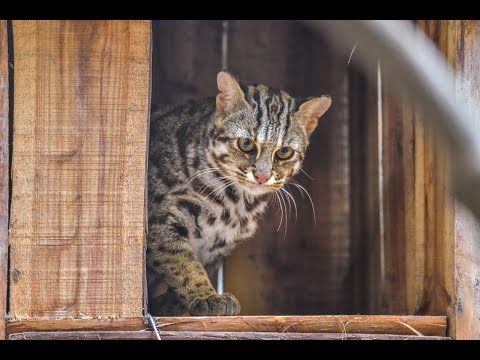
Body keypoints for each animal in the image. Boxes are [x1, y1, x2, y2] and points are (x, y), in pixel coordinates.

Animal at [146, 71, 332, 316]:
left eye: (284, 152)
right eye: (246, 143)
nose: (262, 176)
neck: (235, 203)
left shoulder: (218, 248)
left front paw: (174, 304)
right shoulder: (161, 217)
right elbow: (181, 263)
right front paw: (206, 296)